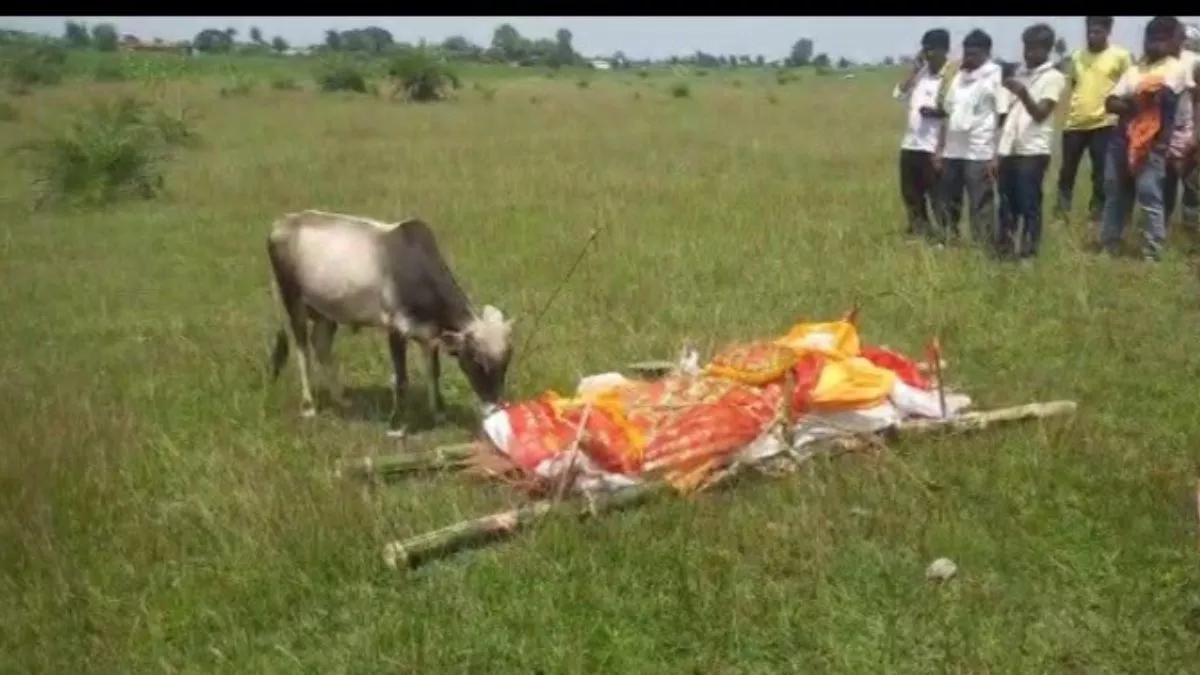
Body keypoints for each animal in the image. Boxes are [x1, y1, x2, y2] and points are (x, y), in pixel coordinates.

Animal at [265, 207, 513, 432]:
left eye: (506, 363)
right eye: (477, 361)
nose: (495, 406)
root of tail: (283, 222)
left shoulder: (429, 335)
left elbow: (433, 373)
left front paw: (439, 414)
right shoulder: (396, 329)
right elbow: (401, 380)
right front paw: (397, 425)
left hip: (326, 312)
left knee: (321, 345)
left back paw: (342, 399)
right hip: (292, 301)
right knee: (302, 351)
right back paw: (308, 406)